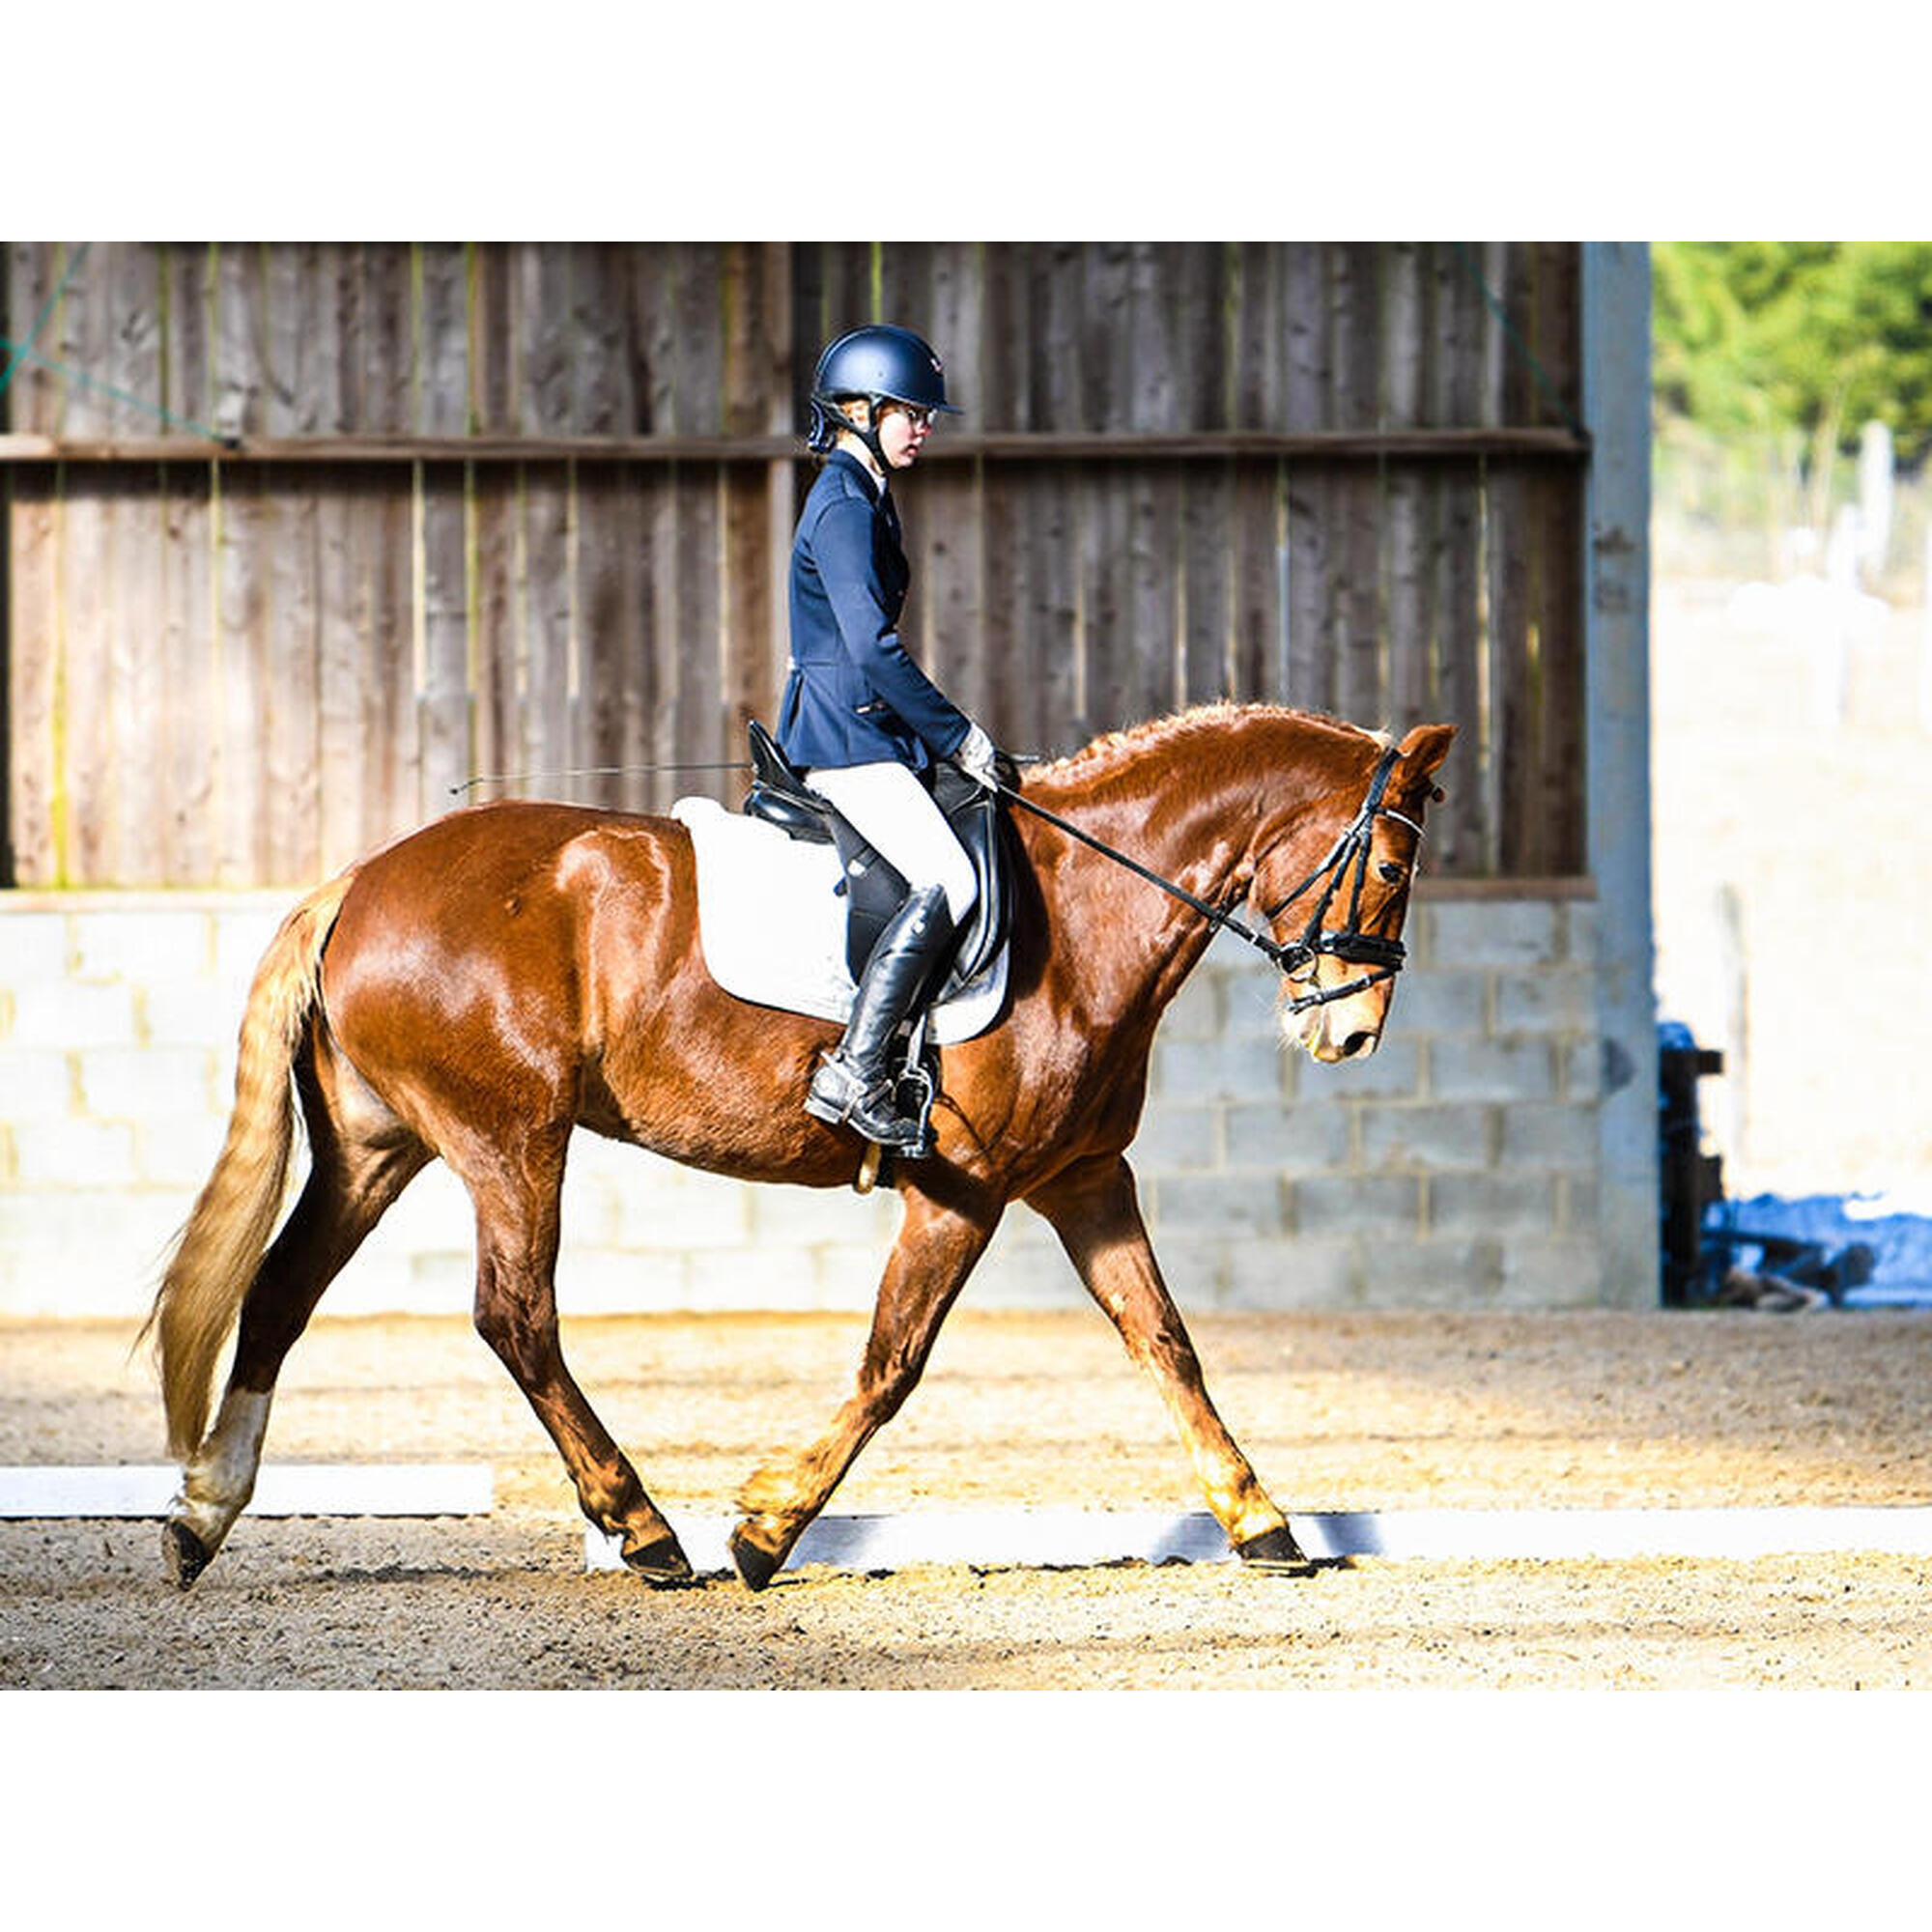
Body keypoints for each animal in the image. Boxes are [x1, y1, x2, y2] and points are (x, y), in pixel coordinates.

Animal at [151, 703, 1453, 1592]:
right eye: (1390, 865)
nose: (1348, 1030)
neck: (1086, 910)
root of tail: (360, 878)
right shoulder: (964, 1191)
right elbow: (892, 1363)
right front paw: (763, 1528)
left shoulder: (1082, 1177)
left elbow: (1167, 1342)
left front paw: (1261, 1521)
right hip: (508, 1139)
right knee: (514, 1317)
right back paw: (647, 1529)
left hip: (376, 1147)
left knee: (280, 1292)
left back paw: (201, 1513)